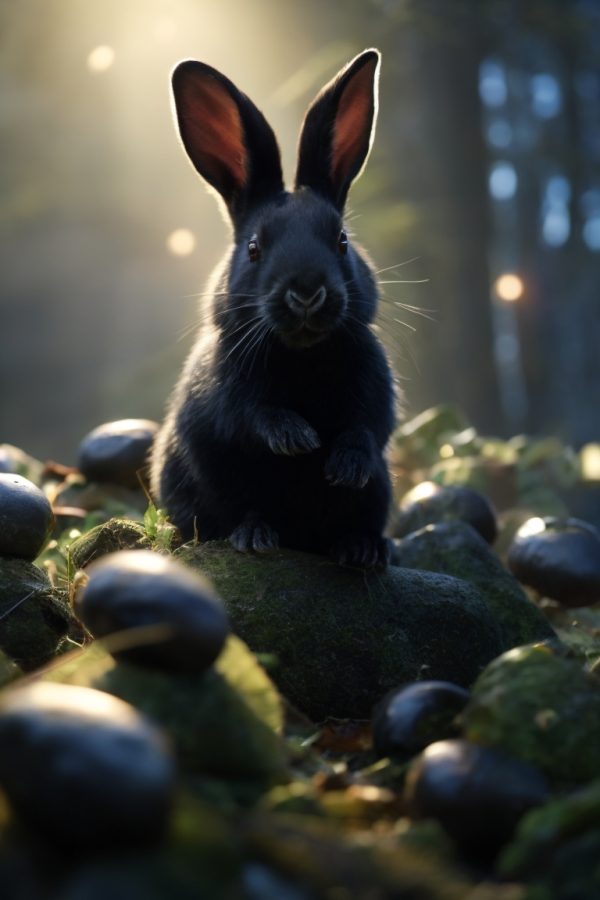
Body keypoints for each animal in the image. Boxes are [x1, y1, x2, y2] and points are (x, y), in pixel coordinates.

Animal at [150, 48, 398, 568]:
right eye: (254, 248)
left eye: (341, 241)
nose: (306, 291)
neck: (301, 354)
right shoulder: (228, 394)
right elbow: (254, 416)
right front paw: (299, 439)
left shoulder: (374, 385)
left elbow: (366, 428)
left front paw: (342, 466)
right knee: (240, 513)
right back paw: (256, 537)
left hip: (378, 493)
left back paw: (363, 549)